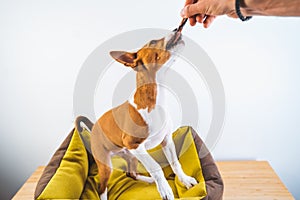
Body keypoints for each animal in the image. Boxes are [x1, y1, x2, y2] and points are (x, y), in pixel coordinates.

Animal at [75, 30, 197, 200]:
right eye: (152, 42)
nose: (175, 30)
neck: (154, 100)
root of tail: (94, 126)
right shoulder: (135, 145)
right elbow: (156, 166)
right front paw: (165, 189)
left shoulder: (166, 140)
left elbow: (175, 163)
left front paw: (184, 180)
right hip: (107, 164)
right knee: (101, 188)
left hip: (131, 156)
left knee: (131, 173)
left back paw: (149, 180)